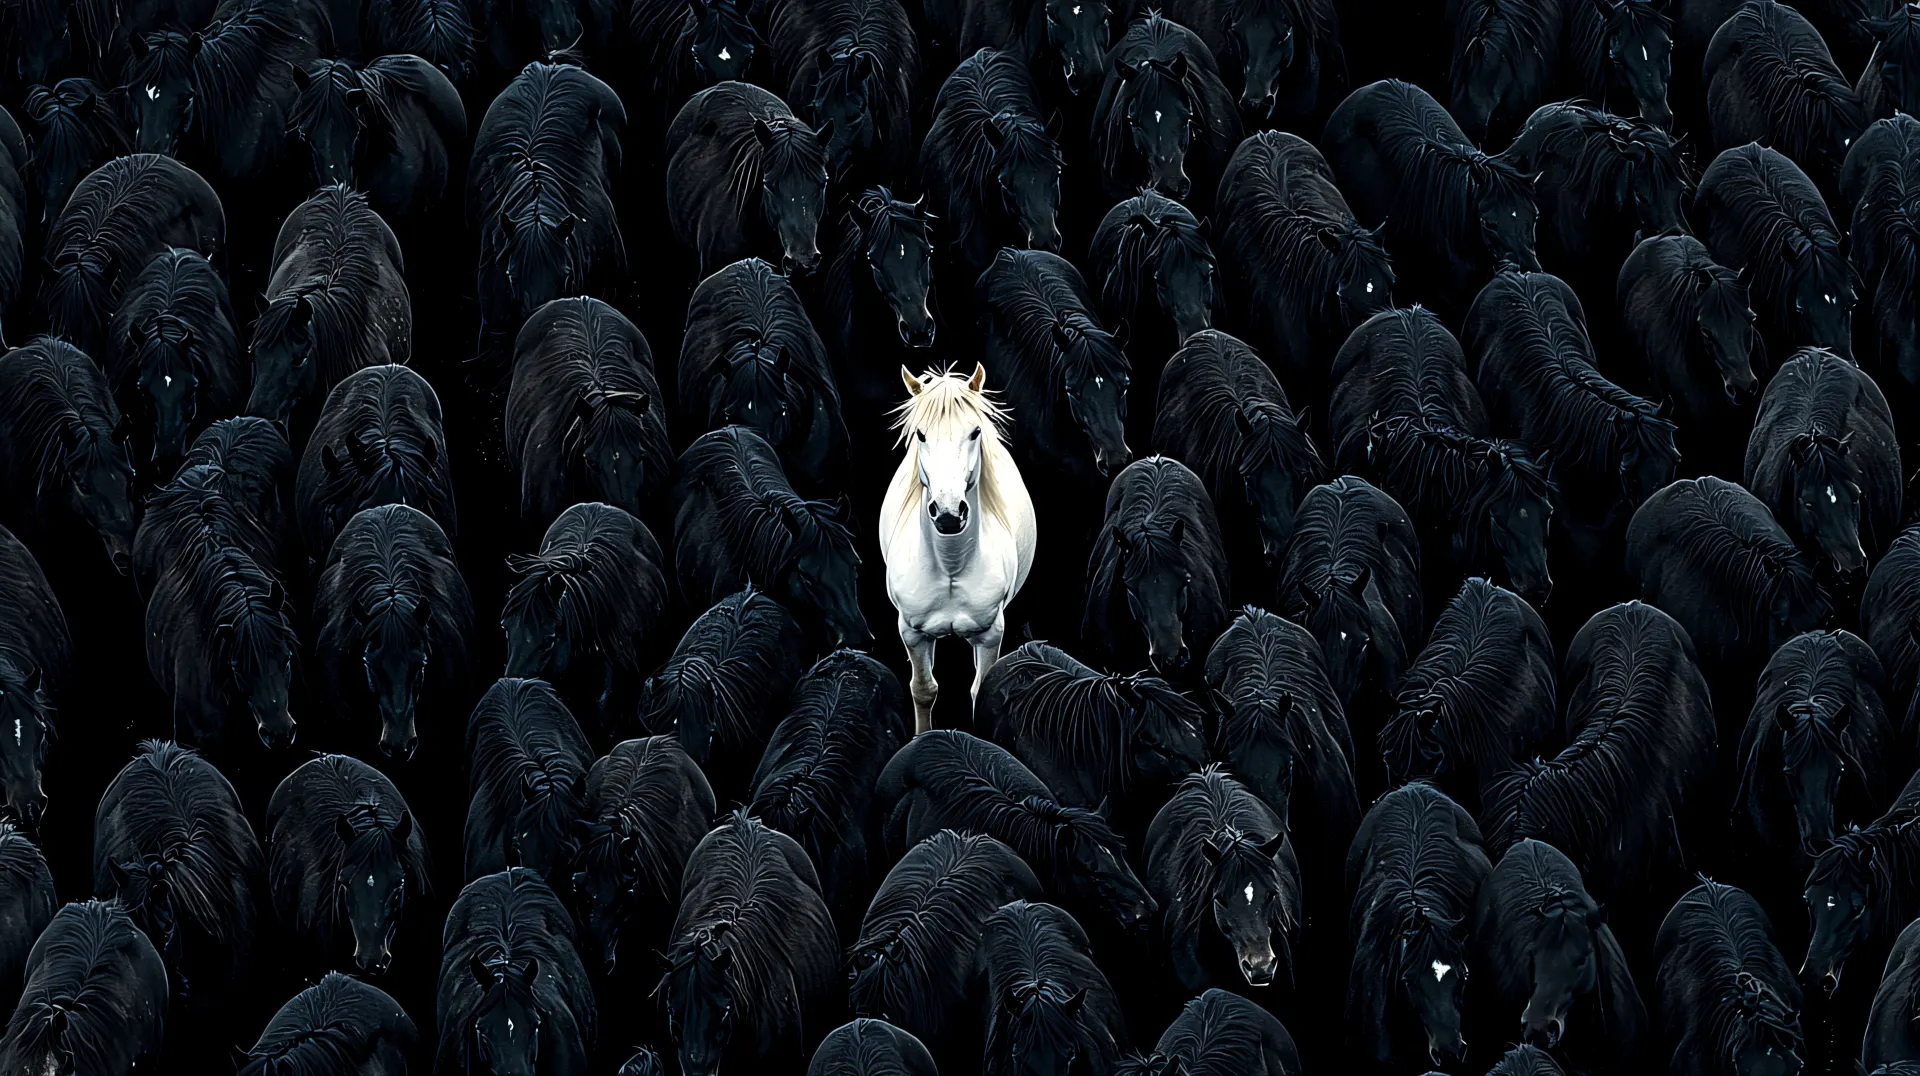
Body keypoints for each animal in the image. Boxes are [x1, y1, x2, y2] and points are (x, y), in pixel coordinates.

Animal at [881, 364, 1036, 733]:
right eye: (921, 435)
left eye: (975, 432)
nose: (949, 514)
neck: (950, 564)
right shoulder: (911, 632)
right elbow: (923, 688)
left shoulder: (991, 634)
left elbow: (982, 690)